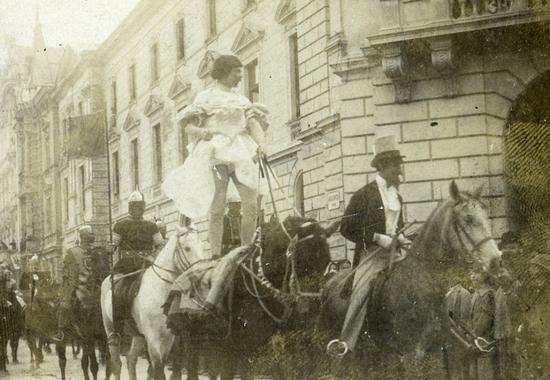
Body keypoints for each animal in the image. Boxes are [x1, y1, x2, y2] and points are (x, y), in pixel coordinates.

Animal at [100, 226, 206, 380]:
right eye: (187, 248)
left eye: (202, 245)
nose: (204, 274)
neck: (160, 290)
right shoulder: (153, 338)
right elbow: (158, 369)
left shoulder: (169, 336)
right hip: (110, 328)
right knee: (116, 364)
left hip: (137, 333)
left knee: (131, 359)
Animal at [324, 181, 508, 378]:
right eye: (468, 219)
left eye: (487, 217)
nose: (496, 261)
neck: (420, 284)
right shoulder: (411, 355)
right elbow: (348, 227)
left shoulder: (435, 352)